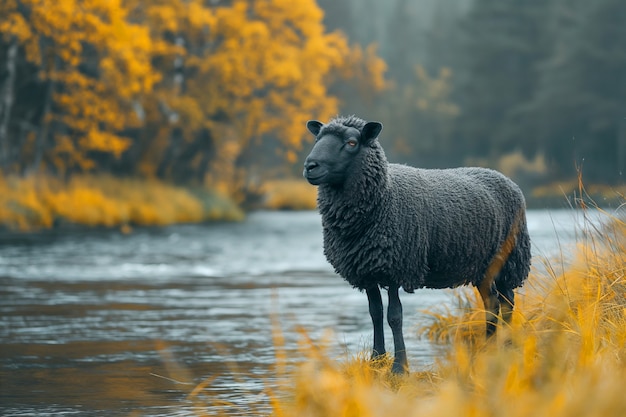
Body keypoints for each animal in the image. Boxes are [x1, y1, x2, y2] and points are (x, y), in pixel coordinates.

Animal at [302, 114, 532, 374]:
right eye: (318, 139)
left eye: (351, 143)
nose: (310, 166)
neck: (384, 195)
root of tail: (502, 176)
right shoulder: (367, 269)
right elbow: (375, 313)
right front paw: (376, 360)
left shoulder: (396, 265)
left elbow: (394, 316)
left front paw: (399, 367)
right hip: (484, 267)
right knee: (493, 303)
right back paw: (490, 349)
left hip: (509, 260)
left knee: (506, 302)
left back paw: (504, 348)